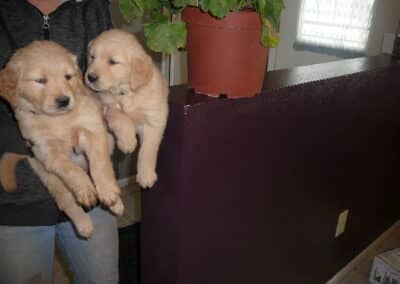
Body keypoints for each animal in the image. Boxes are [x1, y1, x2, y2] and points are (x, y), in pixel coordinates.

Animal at [0, 40, 123, 237]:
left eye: (68, 77)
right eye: (40, 80)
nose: (64, 100)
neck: (58, 119)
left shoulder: (93, 130)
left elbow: (100, 165)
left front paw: (109, 192)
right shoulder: (46, 151)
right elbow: (72, 170)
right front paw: (85, 189)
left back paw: (117, 204)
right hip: (50, 179)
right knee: (66, 201)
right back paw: (83, 224)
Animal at [86, 29, 169, 189]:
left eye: (113, 62)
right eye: (92, 57)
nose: (90, 77)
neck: (126, 92)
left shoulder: (154, 119)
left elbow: (147, 150)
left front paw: (146, 175)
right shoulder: (108, 106)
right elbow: (121, 117)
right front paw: (128, 142)